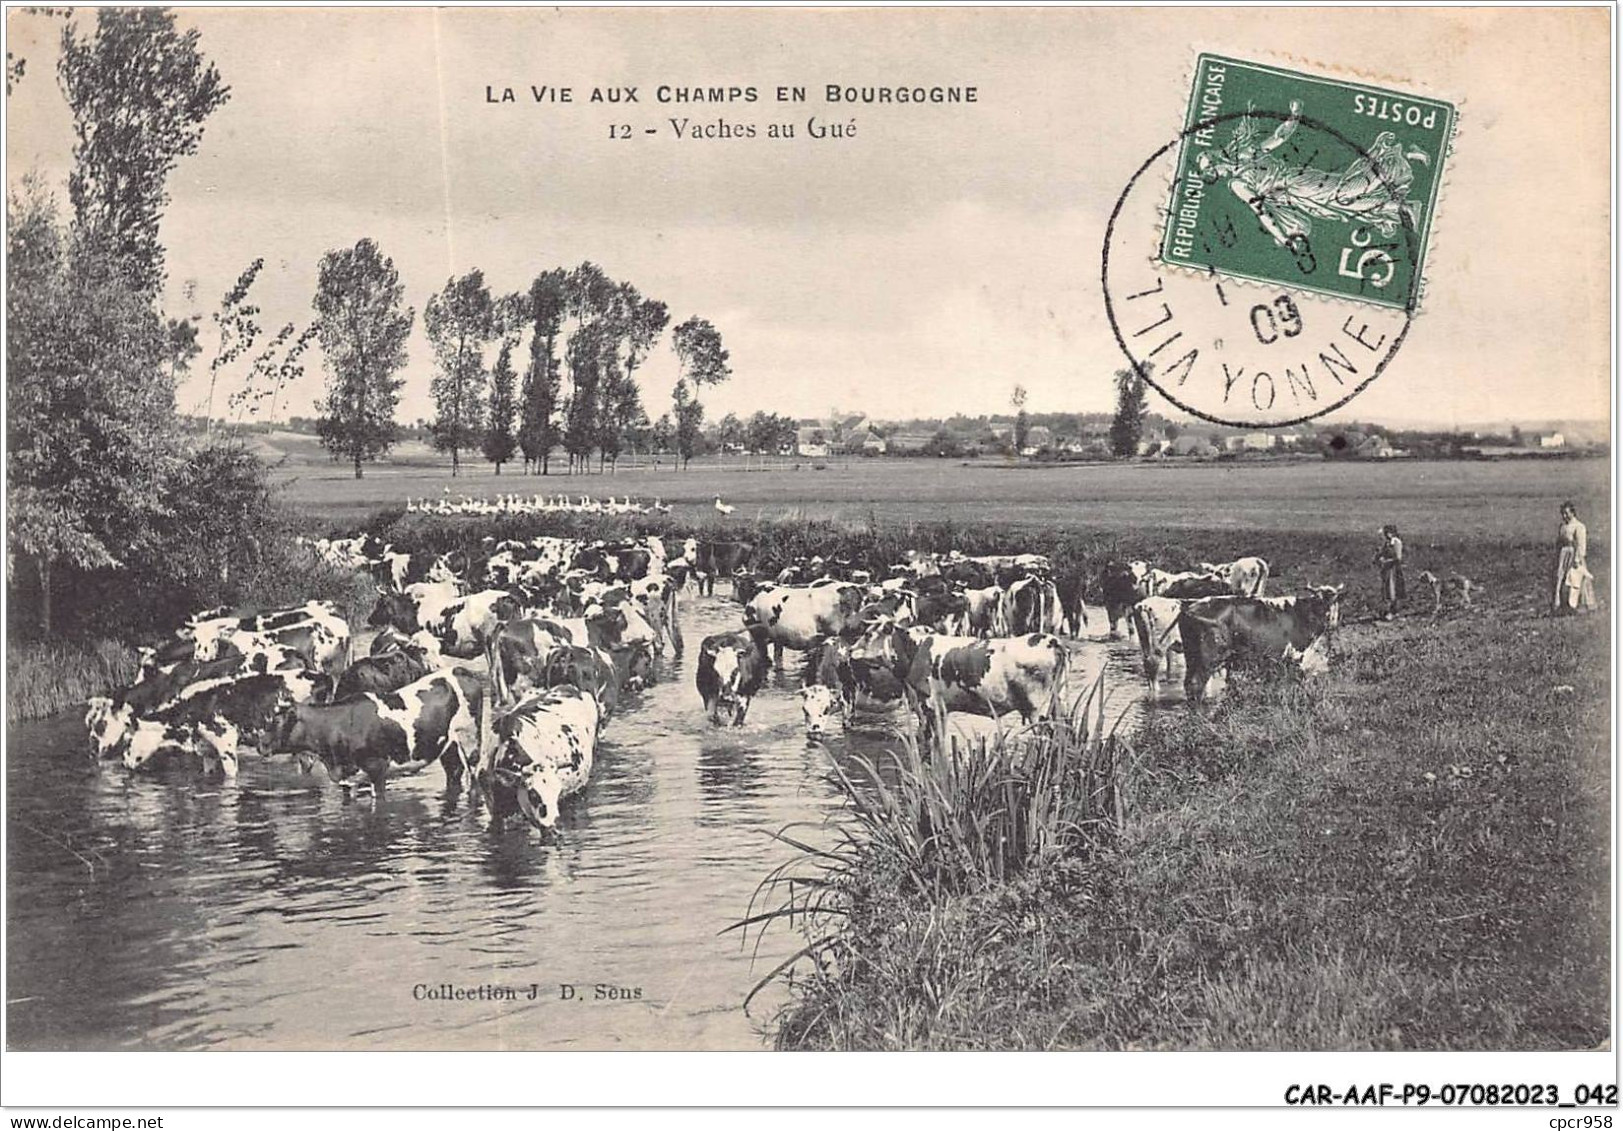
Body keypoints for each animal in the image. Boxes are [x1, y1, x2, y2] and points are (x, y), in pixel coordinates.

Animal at [269, 671, 483, 795]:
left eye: (277, 720)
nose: (263, 745)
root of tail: (459, 671)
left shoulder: (378, 768)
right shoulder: (347, 776)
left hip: (471, 739)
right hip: (448, 745)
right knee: (454, 771)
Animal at [1181, 587, 1343, 700]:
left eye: (1333, 602)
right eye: (1320, 601)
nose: (1329, 620)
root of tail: (1190, 608)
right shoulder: (1297, 654)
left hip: (1192, 657)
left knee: (1188, 683)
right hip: (1208, 658)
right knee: (1196, 684)